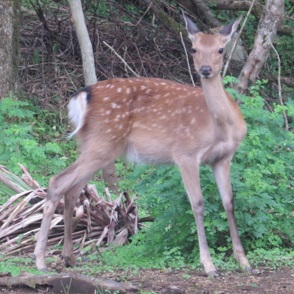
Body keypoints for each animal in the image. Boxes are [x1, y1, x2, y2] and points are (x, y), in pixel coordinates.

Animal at [34, 14, 250, 276]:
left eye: (220, 49)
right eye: (194, 49)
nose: (206, 70)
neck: (220, 126)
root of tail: (81, 96)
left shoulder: (223, 158)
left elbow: (229, 202)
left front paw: (244, 261)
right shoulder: (185, 153)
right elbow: (197, 204)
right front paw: (208, 265)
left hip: (94, 146)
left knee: (73, 189)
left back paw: (69, 257)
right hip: (102, 142)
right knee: (58, 181)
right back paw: (41, 260)